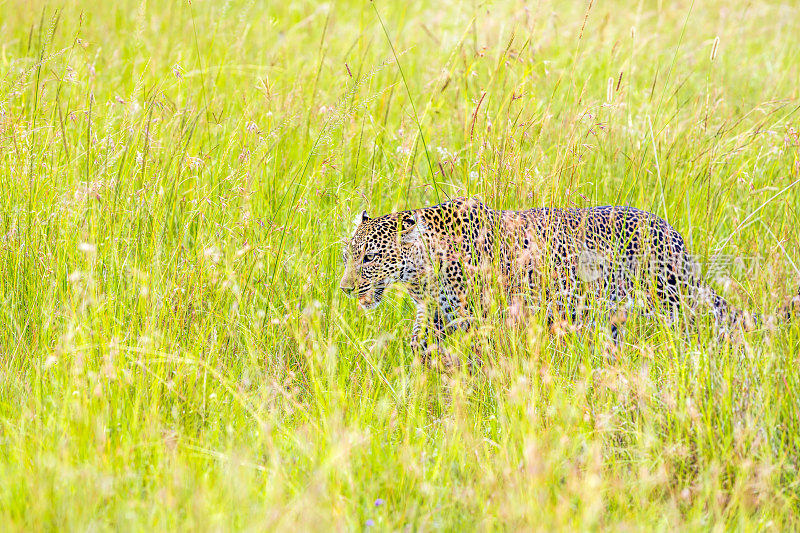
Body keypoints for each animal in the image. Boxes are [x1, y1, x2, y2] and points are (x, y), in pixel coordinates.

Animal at [340, 195, 800, 366]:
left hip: (670, 299)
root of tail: (671, 232)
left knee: (707, 326)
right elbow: (417, 345)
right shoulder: (435, 315)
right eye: (348, 256)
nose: (345, 289)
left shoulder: (485, 315)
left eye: (369, 258)